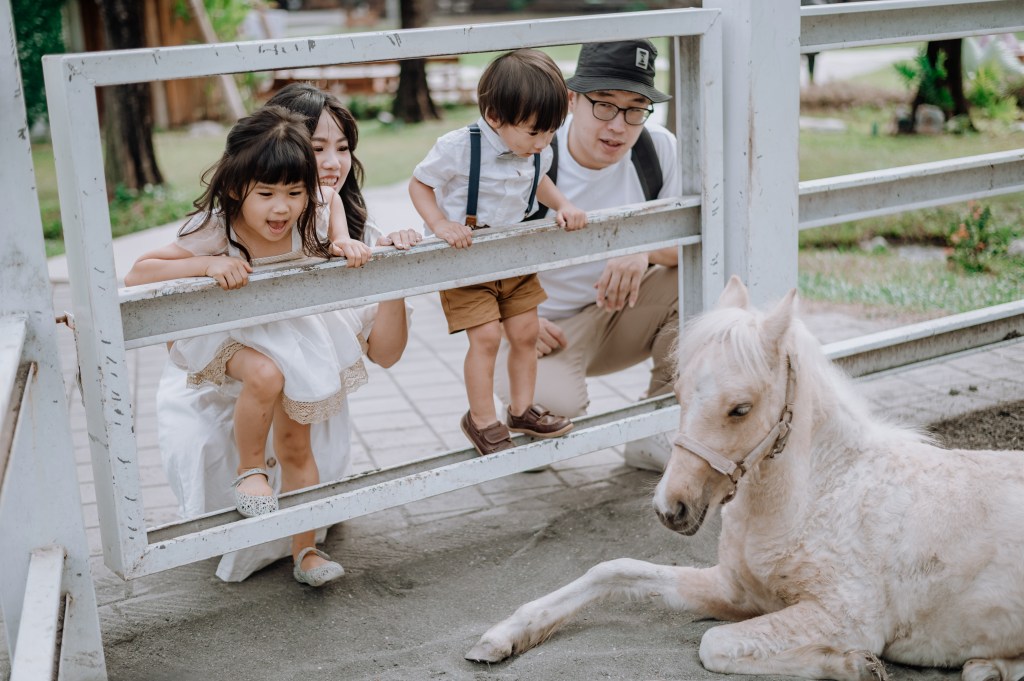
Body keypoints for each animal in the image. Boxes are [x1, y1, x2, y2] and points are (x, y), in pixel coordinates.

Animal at [466, 276, 1024, 681]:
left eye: (741, 408)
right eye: (678, 392)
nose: (671, 509)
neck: (820, 496)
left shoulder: (847, 616)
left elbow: (713, 643)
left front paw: (851, 665)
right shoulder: (737, 591)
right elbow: (616, 570)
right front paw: (501, 636)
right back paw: (986, 667)